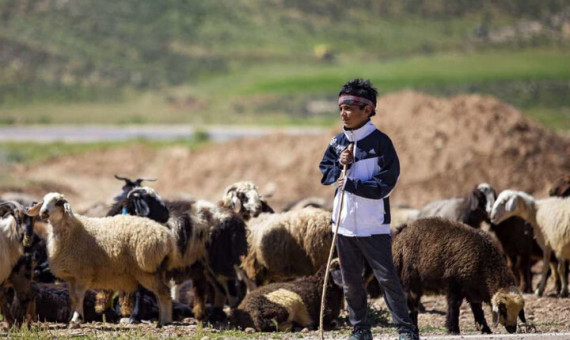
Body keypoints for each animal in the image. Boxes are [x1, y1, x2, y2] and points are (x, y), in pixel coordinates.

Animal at [25, 193, 175, 328]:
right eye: (43, 200)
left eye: (58, 203)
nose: (43, 212)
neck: (71, 230)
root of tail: (166, 236)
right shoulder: (73, 276)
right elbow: (73, 298)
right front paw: (74, 317)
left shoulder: (82, 273)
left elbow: (78, 297)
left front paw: (76, 319)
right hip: (154, 269)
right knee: (160, 293)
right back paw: (162, 319)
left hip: (146, 268)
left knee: (163, 292)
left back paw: (165, 321)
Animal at [390, 218, 524, 334]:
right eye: (503, 309)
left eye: (518, 311)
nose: (512, 329)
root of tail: (401, 234)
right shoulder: (454, 283)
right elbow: (454, 305)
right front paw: (453, 329)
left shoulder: (473, 290)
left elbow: (477, 309)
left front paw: (485, 329)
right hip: (411, 281)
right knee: (412, 305)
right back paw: (414, 328)